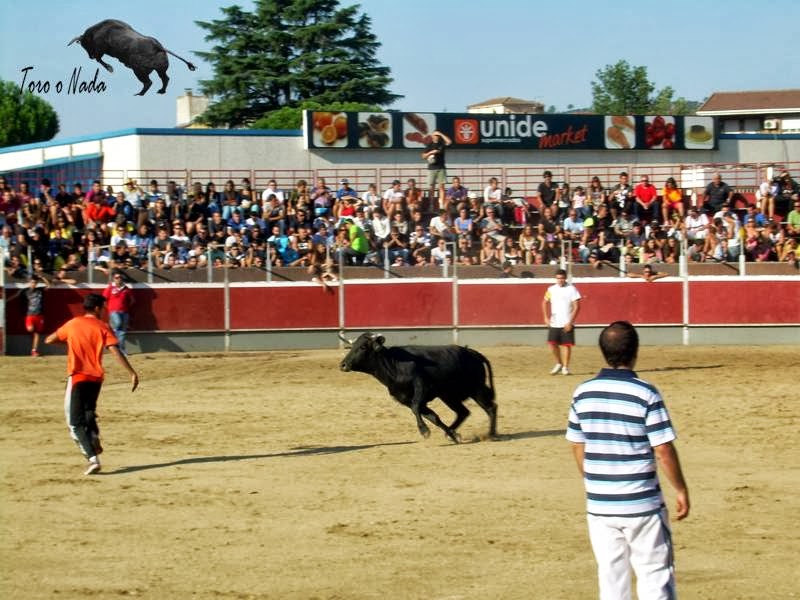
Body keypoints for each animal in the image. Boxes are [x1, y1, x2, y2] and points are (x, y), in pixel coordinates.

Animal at [68, 19, 197, 96]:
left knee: (148, 82)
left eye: (85, 44)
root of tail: (158, 47)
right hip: (160, 69)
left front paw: (110, 68)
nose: (90, 56)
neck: (96, 32)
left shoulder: (100, 49)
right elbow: (99, 59)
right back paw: (161, 91)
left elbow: (99, 59)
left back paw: (140, 93)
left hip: (138, 70)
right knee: (165, 78)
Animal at [339, 332, 497, 443]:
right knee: (463, 412)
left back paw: (491, 434)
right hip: (448, 396)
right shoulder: (404, 399)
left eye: (363, 346)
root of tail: (473, 353)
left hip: (477, 389)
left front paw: (424, 431)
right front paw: (453, 435)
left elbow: (417, 408)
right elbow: (433, 417)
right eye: (351, 347)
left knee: (490, 407)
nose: (343, 365)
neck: (395, 366)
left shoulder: (421, 388)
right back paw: (453, 432)